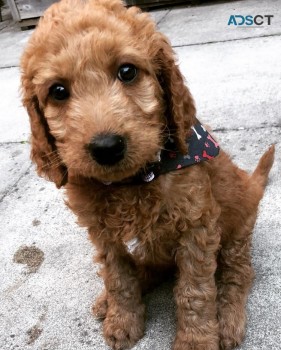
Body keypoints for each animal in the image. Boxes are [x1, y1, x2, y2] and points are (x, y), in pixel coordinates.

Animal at [20, 1, 274, 348]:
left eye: (127, 71)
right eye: (58, 91)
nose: (106, 147)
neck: (132, 181)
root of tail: (251, 185)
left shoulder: (198, 223)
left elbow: (194, 291)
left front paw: (195, 341)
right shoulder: (103, 234)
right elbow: (118, 277)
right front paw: (122, 318)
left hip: (238, 227)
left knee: (237, 274)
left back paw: (229, 320)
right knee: (148, 267)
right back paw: (109, 299)